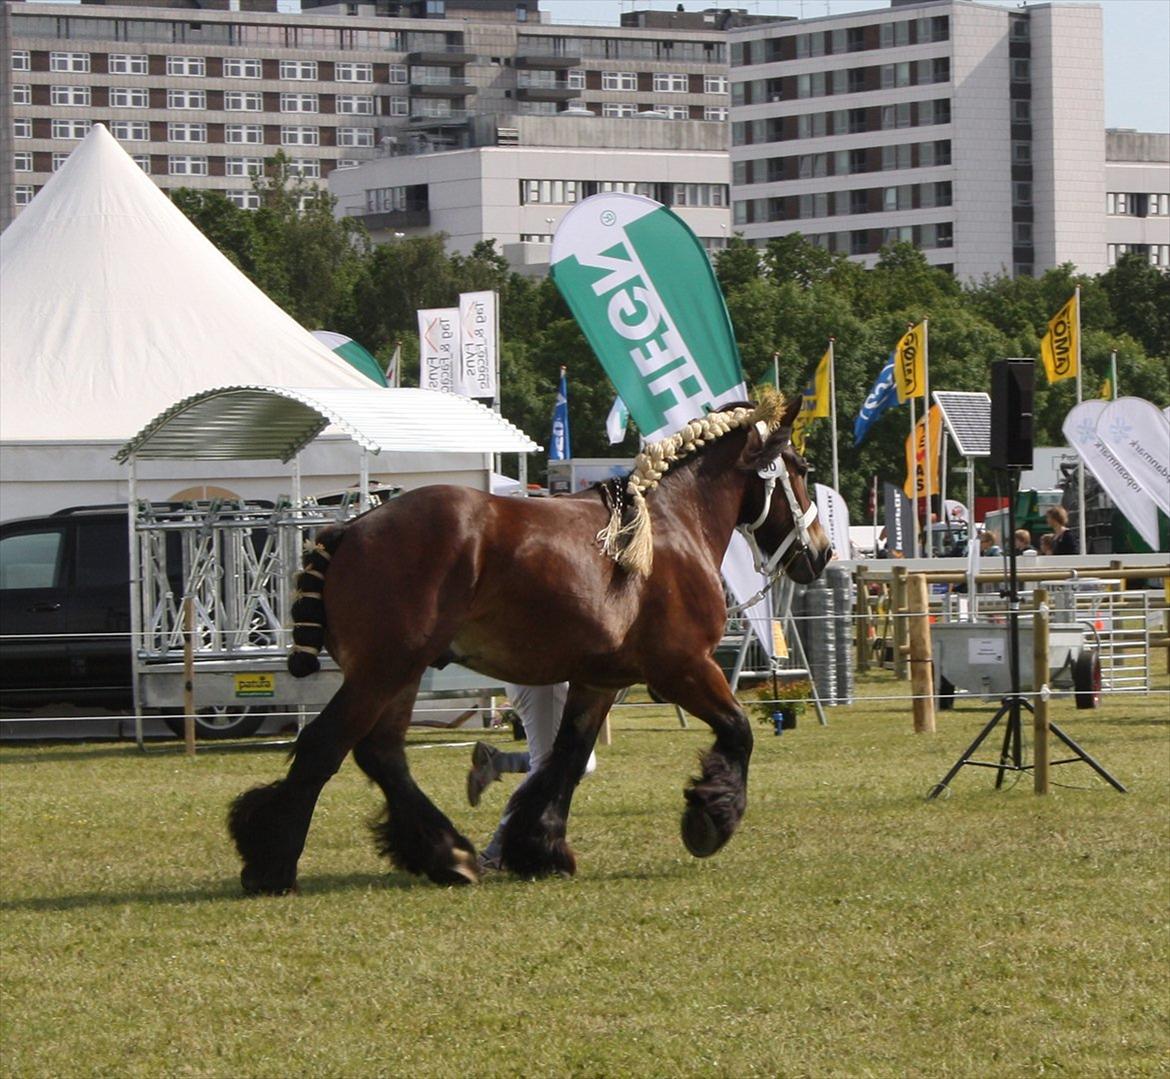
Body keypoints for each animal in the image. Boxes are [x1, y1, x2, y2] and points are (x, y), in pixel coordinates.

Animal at [228, 388, 833, 889]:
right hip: (384, 671)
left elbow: (565, 759)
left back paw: (447, 855)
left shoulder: (599, 681)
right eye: (802, 467)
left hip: (400, 673)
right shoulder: (684, 666)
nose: (823, 553)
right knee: (323, 747)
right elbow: (738, 731)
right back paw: (272, 863)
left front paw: (538, 847)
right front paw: (712, 817)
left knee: (382, 755)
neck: (670, 526)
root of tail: (350, 528)